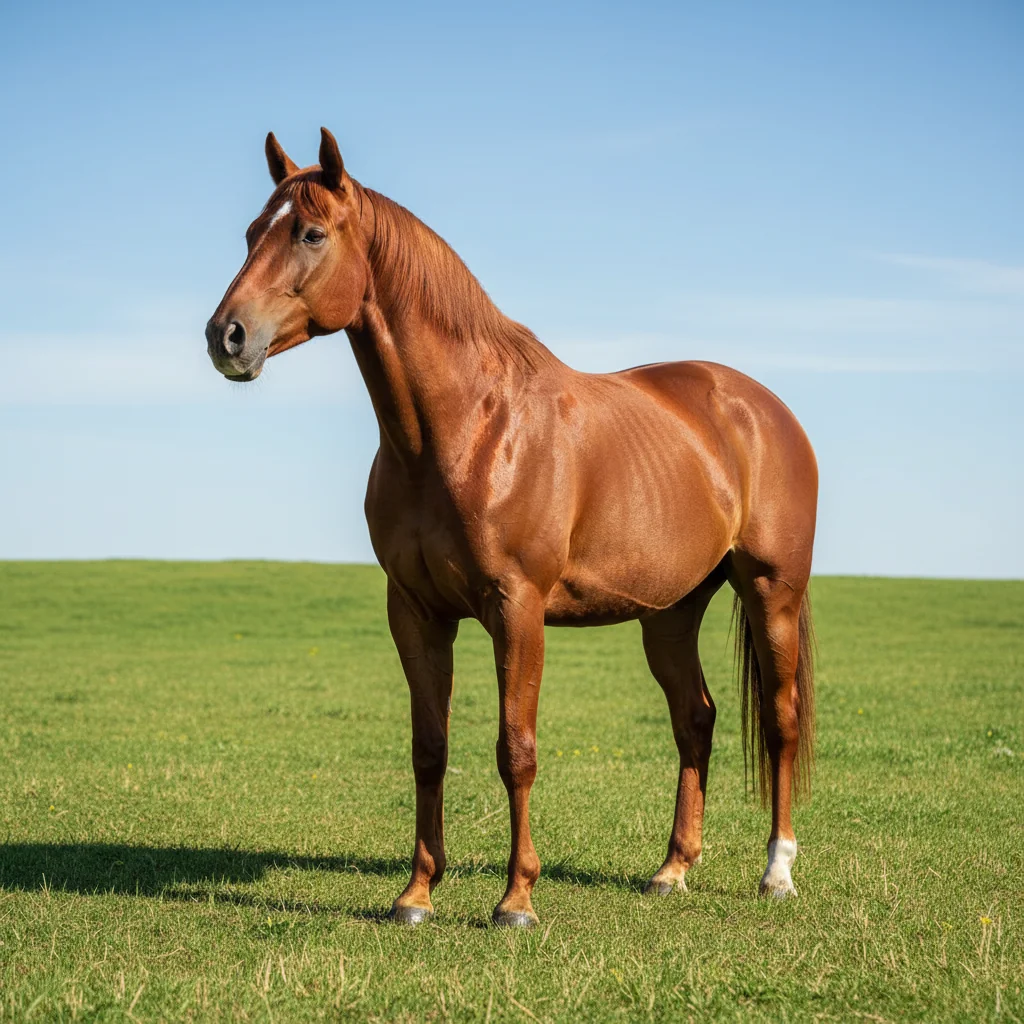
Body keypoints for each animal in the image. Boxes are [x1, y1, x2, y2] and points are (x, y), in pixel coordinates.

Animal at [206, 128, 818, 927]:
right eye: (252, 232)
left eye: (310, 233)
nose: (226, 336)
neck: (466, 429)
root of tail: (760, 407)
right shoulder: (416, 612)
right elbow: (429, 749)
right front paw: (416, 895)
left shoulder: (517, 608)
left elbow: (515, 749)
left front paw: (516, 900)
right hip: (670, 613)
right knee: (696, 719)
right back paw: (672, 870)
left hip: (771, 592)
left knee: (779, 721)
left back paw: (777, 872)